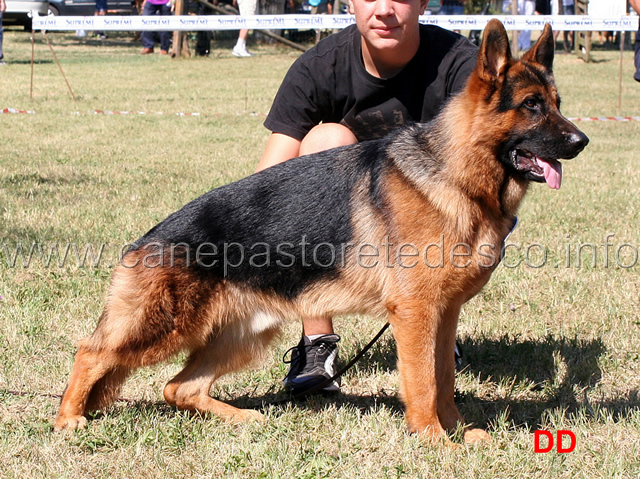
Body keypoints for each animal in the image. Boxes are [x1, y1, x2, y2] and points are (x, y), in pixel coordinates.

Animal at [53, 20, 584, 444]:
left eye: (558, 103)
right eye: (532, 106)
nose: (582, 141)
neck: (455, 173)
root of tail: (148, 238)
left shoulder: (443, 314)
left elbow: (444, 378)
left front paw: (457, 432)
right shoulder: (416, 313)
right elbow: (423, 383)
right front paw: (434, 439)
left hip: (245, 336)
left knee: (177, 386)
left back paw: (242, 418)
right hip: (163, 325)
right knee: (91, 353)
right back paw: (68, 419)